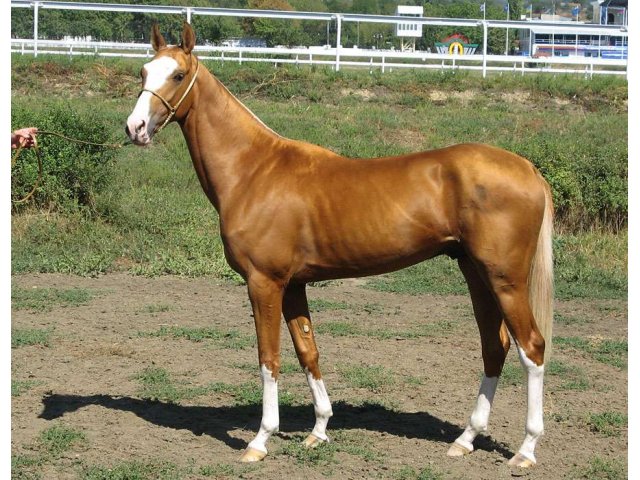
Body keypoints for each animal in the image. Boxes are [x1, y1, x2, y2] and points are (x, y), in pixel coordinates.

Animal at [126, 23, 556, 468]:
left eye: (178, 75)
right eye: (143, 72)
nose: (135, 127)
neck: (254, 171)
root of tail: (527, 168)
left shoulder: (264, 283)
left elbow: (269, 358)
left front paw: (260, 440)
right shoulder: (293, 285)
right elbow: (307, 351)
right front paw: (318, 430)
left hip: (505, 280)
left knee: (532, 348)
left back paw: (525, 449)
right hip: (476, 274)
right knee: (494, 347)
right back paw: (465, 438)